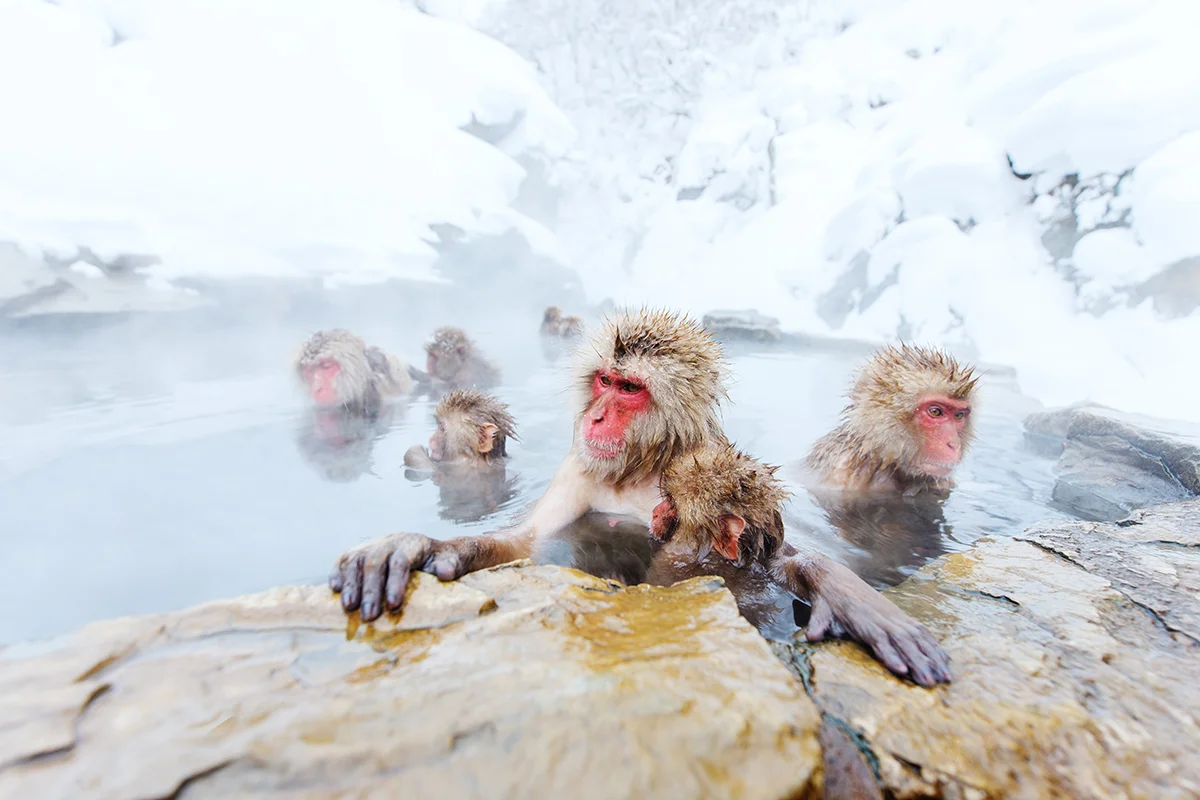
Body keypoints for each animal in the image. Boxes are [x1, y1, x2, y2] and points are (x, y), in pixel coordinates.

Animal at [329, 308, 951, 687]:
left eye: (630, 389)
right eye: (604, 380)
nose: (598, 416)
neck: (643, 467)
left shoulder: (710, 460)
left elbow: (773, 552)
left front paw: (848, 595)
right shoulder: (577, 467)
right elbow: (528, 539)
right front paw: (418, 546)